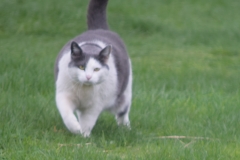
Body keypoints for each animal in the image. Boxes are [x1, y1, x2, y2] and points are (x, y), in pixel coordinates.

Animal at [54, 0, 132, 138]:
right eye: (81, 67)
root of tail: (99, 28)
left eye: (96, 69)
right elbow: (67, 115)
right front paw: (76, 129)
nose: (88, 76)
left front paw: (84, 136)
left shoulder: (95, 106)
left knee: (123, 112)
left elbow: (88, 122)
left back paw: (126, 129)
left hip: (123, 94)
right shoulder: (64, 94)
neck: (84, 90)